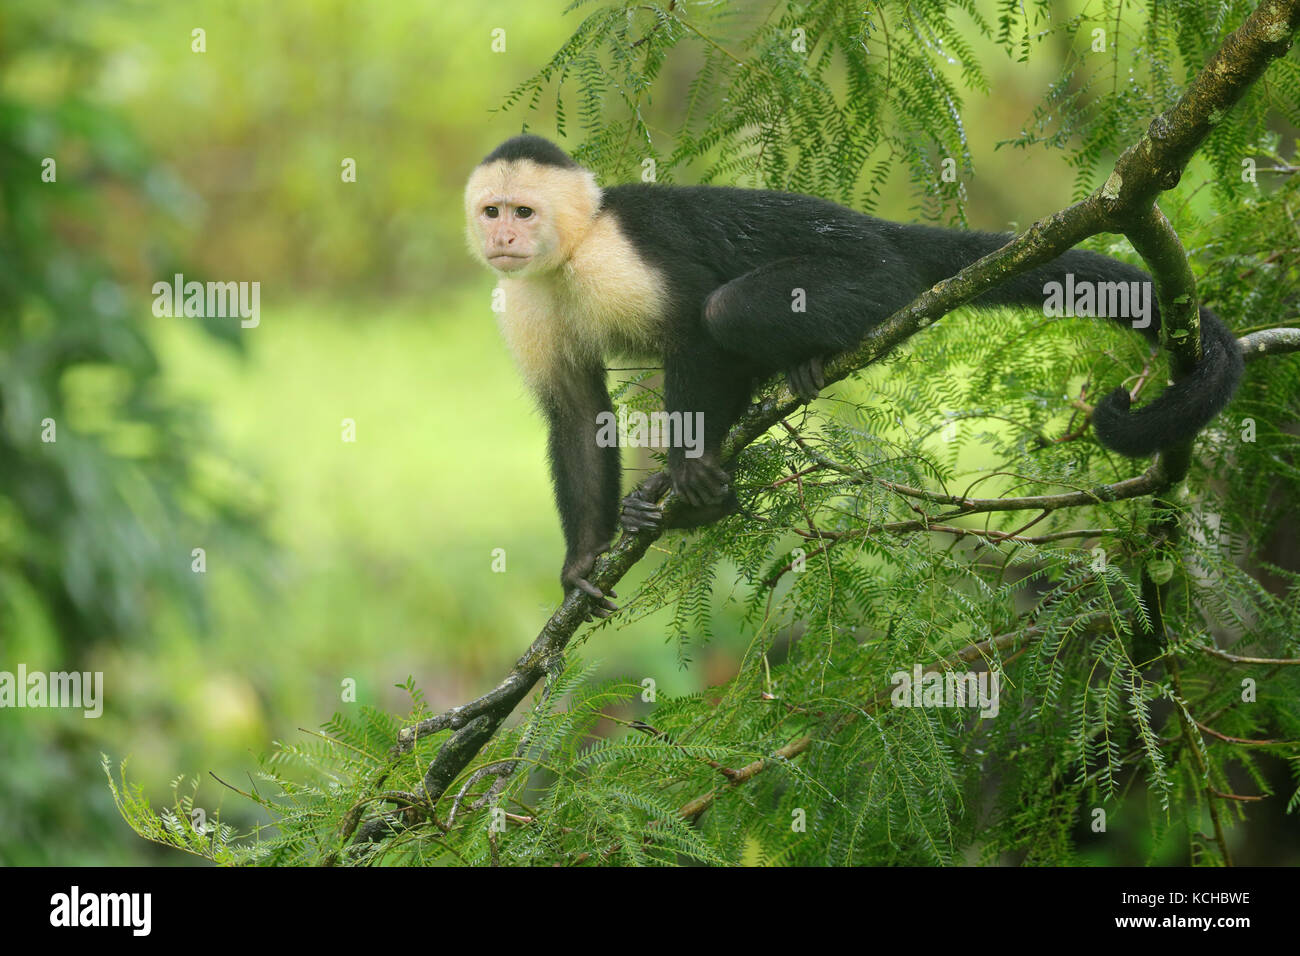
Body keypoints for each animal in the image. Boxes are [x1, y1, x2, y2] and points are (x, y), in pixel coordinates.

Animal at [465, 134, 1237, 616]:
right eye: (493, 211)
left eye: (524, 211)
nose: (502, 236)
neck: (570, 254)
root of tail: (881, 232)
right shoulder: (523, 298)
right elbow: (575, 411)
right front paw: (582, 562)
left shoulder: (618, 258)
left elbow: (692, 323)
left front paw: (692, 472)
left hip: (874, 277)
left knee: (729, 311)